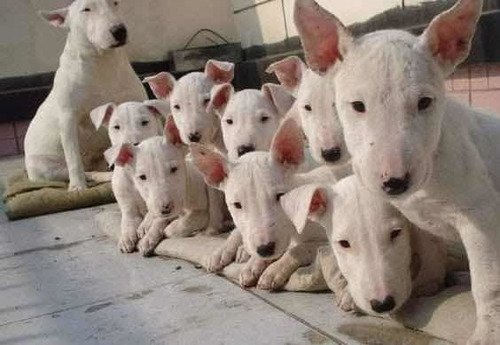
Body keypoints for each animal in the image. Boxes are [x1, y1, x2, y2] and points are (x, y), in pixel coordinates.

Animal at [24, 0, 146, 191]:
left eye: (115, 2)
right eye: (86, 9)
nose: (119, 30)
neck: (102, 60)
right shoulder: (68, 116)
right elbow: (73, 156)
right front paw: (77, 187)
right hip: (44, 168)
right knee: (81, 170)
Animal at [105, 117, 207, 254]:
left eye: (174, 169)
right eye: (142, 177)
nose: (165, 208)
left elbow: (160, 221)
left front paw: (147, 240)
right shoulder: (130, 209)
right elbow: (128, 223)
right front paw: (126, 240)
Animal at [191, 117, 336, 288]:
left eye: (280, 196)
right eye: (237, 205)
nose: (265, 249)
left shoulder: (326, 244)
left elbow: (299, 249)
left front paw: (273, 270)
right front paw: (252, 263)